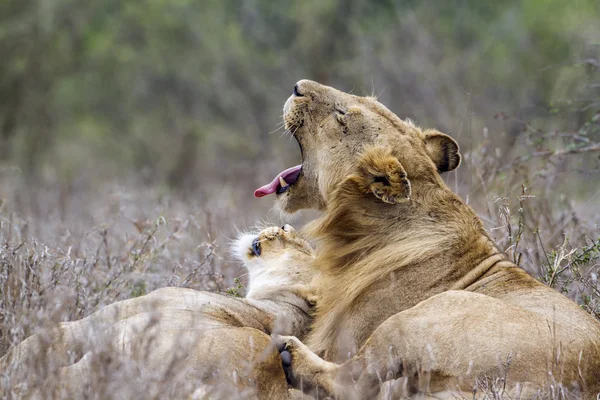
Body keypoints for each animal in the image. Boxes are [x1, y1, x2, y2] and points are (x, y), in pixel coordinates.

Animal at [252, 80, 600, 396]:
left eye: (342, 115)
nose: (297, 86)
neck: (360, 231)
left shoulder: (344, 340)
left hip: (421, 315)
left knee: (351, 381)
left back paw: (291, 356)